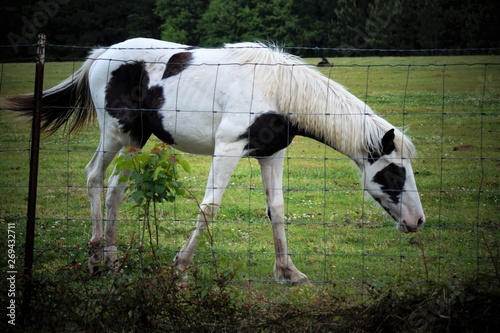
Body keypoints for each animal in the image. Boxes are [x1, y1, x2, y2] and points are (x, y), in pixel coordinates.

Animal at [3, 38, 426, 282]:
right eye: (394, 173)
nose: (417, 222)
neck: (277, 88)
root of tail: (100, 55)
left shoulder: (271, 155)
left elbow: (277, 210)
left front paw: (288, 272)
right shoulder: (228, 149)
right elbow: (208, 208)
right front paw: (180, 268)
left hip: (136, 140)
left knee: (115, 191)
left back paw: (111, 258)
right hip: (116, 133)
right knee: (94, 176)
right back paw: (95, 256)